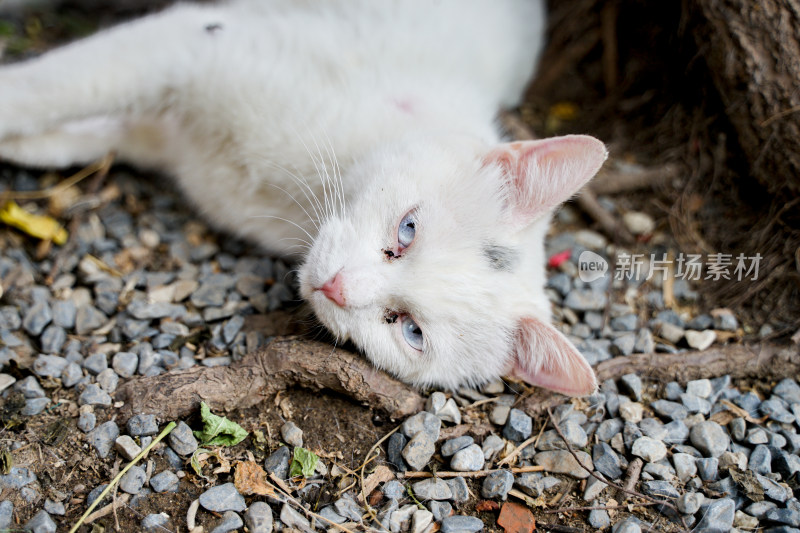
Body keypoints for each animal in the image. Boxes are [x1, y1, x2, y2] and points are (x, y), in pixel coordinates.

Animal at [0, 0, 604, 390]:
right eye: (407, 230)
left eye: (410, 330)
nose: (336, 287)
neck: (289, 193)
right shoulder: (194, 42)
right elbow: (47, 89)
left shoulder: (166, 137)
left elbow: (72, 133)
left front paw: (24, 144)